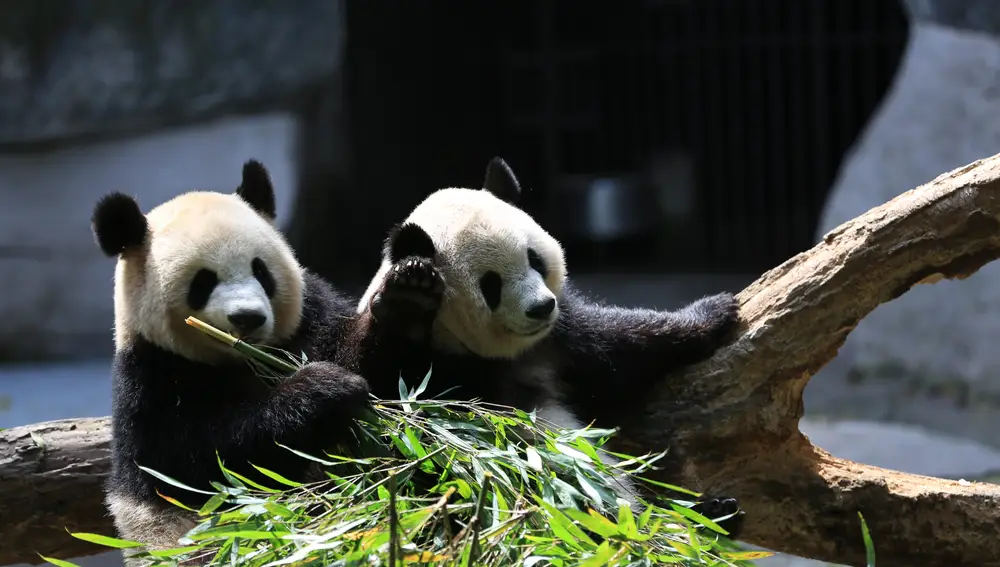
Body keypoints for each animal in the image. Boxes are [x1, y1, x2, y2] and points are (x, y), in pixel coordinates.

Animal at [92, 161, 379, 565]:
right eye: (202, 281)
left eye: (260, 270)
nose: (248, 318)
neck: (242, 359)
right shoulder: (151, 382)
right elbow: (211, 461)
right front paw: (324, 388)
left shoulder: (310, 321)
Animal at [357, 157, 745, 537]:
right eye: (491, 285)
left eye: (535, 260)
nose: (541, 307)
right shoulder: (434, 375)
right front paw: (408, 300)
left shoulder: (559, 339)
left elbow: (622, 349)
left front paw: (712, 312)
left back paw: (713, 513)